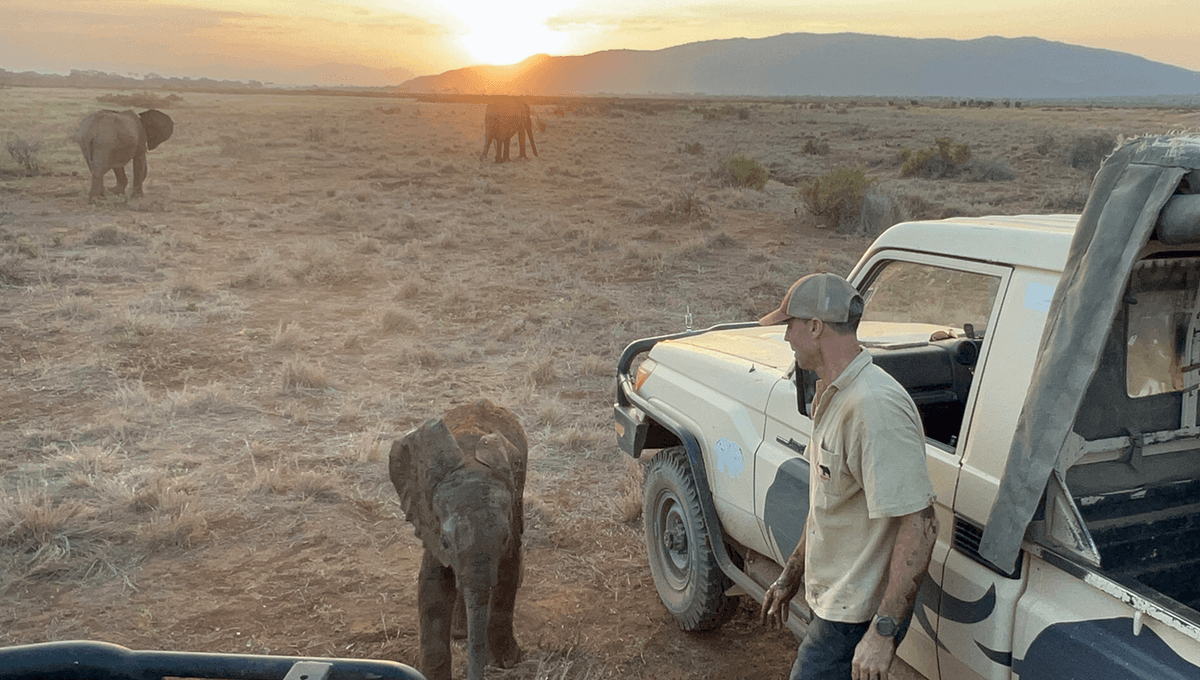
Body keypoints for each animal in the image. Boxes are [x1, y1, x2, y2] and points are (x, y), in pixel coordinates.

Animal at [388, 398, 528, 680]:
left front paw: (508, 661)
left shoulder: (514, 511)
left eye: (504, 539)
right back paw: (459, 632)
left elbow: (507, 575)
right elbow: (432, 590)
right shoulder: (429, 519)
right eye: (445, 543)